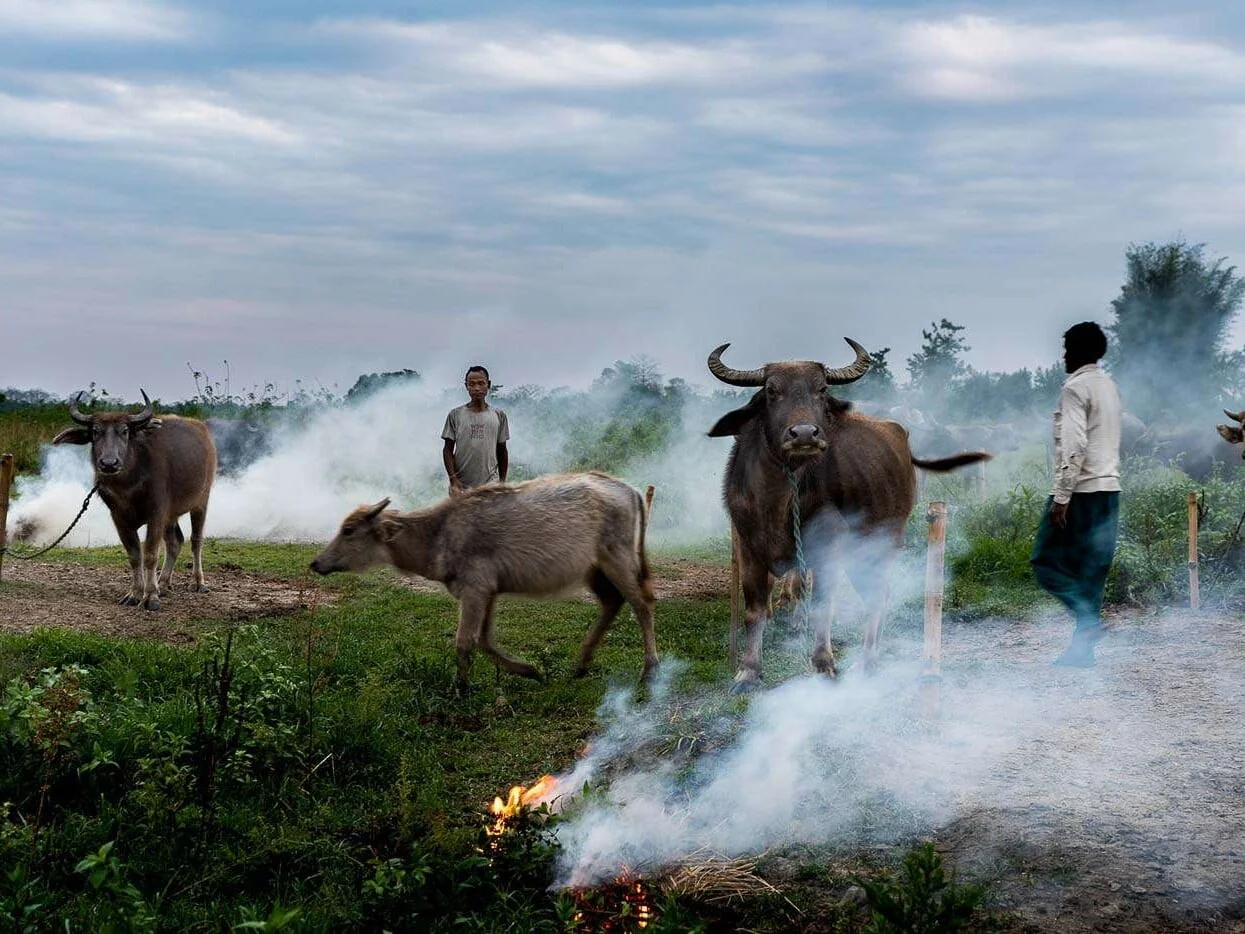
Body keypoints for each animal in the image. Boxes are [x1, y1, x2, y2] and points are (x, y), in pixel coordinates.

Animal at [52, 391, 216, 610]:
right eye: (95, 432)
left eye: (125, 431)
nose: (109, 463)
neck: (128, 486)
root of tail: (203, 430)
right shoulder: (119, 518)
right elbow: (134, 556)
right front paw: (136, 593)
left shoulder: (156, 513)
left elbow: (150, 555)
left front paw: (151, 597)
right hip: (171, 515)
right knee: (175, 542)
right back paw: (163, 584)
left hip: (201, 501)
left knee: (196, 541)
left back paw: (197, 582)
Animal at [310, 475, 657, 687]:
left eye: (349, 530)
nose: (316, 563)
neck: (439, 533)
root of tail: (629, 490)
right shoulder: (488, 591)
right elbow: (485, 640)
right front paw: (529, 670)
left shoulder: (475, 590)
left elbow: (465, 642)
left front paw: (460, 688)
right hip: (594, 569)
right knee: (612, 602)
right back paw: (581, 664)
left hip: (617, 557)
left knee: (642, 604)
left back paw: (649, 669)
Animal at [712, 341, 991, 692]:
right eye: (772, 391)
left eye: (821, 390)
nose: (804, 434)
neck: (778, 498)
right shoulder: (748, 548)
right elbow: (754, 611)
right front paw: (748, 672)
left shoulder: (827, 548)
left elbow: (821, 607)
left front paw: (823, 666)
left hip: (881, 543)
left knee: (877, 595)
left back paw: (867, 660)